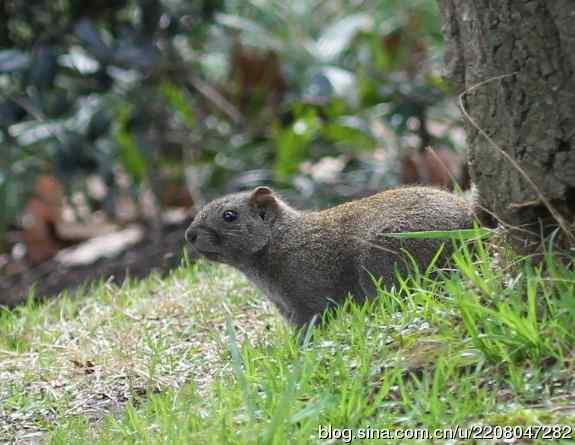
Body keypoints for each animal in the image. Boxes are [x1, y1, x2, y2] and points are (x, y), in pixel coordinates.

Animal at [186, 186, 476, 328]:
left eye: (229, 216)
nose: (189, 235)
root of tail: (468, 220)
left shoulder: (307, 297)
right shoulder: (286, 308)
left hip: (385, 261)